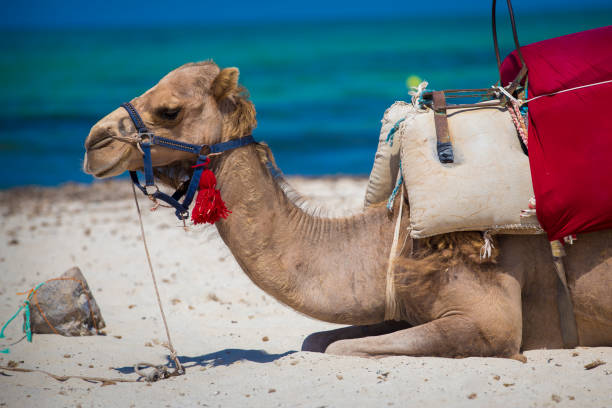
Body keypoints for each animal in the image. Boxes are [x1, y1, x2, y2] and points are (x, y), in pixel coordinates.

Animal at [85, 61, 612, 360]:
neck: (391, 240)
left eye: (170, 110)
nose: (94, 143)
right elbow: (315, 341)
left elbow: (341, 347)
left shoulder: (491, 318)